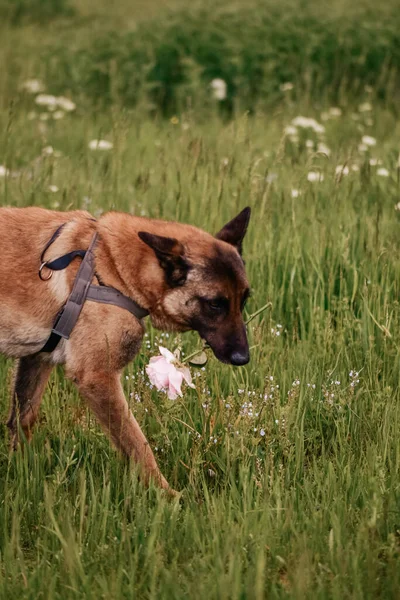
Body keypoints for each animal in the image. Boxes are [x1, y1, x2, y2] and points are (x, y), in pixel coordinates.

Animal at [0, 206, 250, 492]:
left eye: (244, 300)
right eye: (215, 304)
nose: (243, 358)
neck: (112, 266)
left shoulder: (37, 359)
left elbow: (22, 421)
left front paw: (21, 473)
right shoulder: (98, 378)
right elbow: (138, 445)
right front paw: (167, 495)